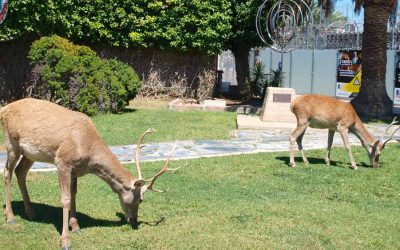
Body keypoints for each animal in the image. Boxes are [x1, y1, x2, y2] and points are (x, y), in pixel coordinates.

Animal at [0, 97, 178, 250]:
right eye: (141, 199)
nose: (134, 220)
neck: (89, 155)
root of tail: (4, 109)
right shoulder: (62, 162)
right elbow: (65, 199)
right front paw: (65, 241)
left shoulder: (75, 170)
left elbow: (74, 194)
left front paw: (76, 226)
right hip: (11, 143)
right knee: (7, 172)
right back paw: (10, 217)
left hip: (31, 154)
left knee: (20, 172)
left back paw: (31, 213)